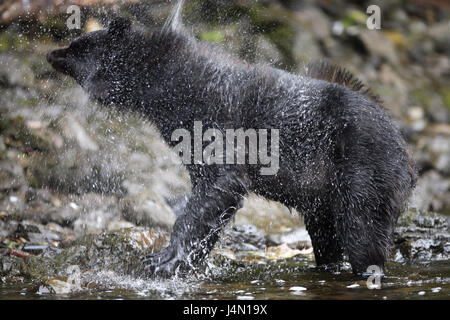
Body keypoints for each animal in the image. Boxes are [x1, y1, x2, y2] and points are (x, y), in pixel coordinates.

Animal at [47, 7, 416, 278]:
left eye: (78, 47)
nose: (52, 53)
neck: (169, 85)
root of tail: (408, 160)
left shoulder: (219, 121)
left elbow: (218, 184)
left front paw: (165, 259)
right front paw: (184, 258)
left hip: (362, 172)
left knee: (361, 230)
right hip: (325, 196)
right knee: (327, 236)